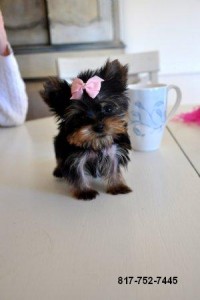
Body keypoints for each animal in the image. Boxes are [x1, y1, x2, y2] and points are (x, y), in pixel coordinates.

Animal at [40, 59, 131, 200]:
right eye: (80, 117)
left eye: (108, 108)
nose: (98, 126)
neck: (96, 143)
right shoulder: (74, 157)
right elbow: (78, 173)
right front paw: (84, 191)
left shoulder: (114, 151)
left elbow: (113, 168)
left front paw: (117, 186)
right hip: (59, 143)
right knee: (59, 159)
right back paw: (58, 170)